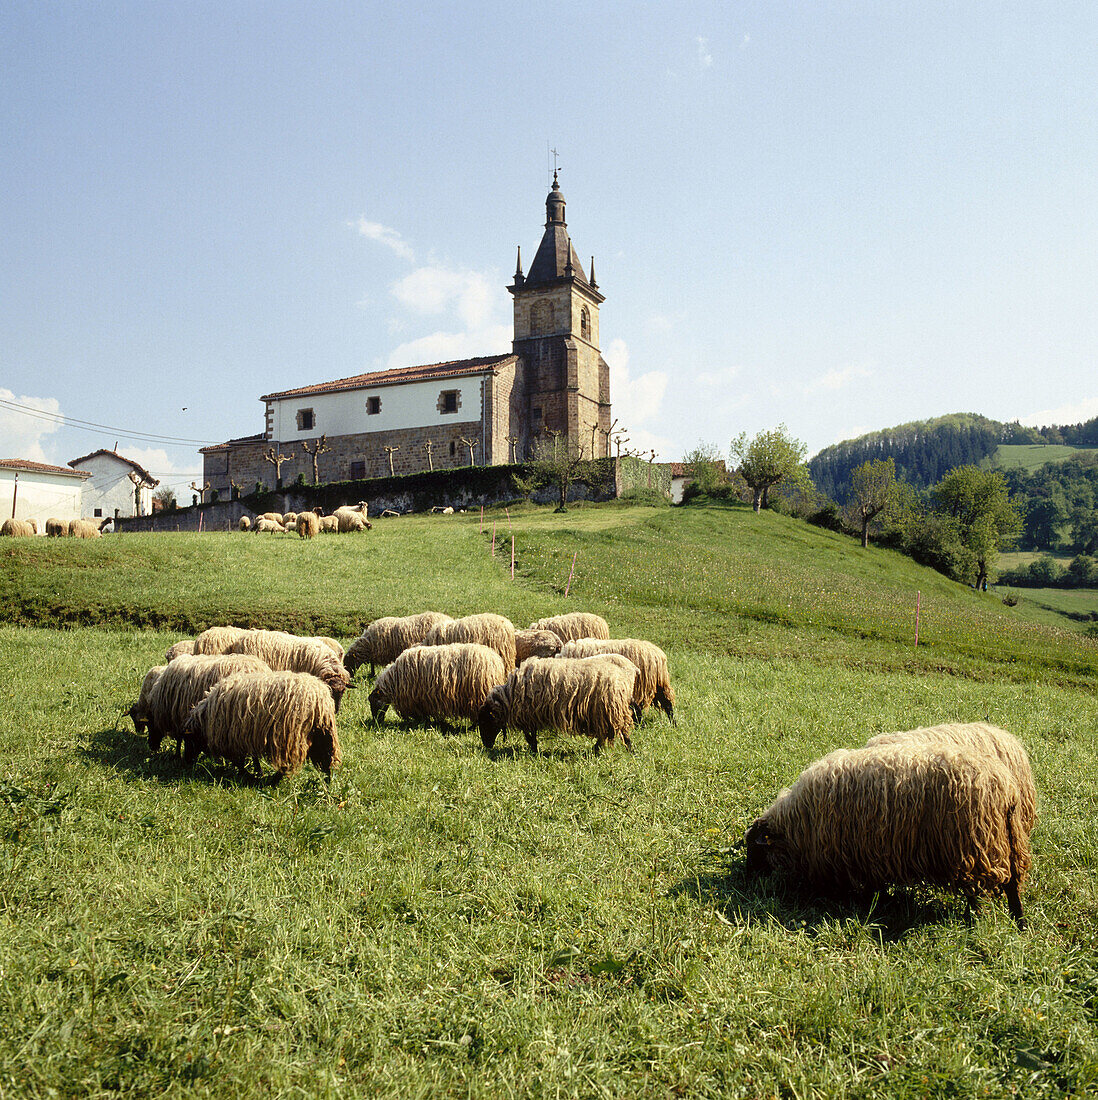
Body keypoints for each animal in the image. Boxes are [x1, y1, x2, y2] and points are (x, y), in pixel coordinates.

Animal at [182, 668, 341, 783]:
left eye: (189, 740)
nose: (187, 761)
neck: (206, 718)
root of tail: (319, 697)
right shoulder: (247, 735)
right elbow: (252, 757)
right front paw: (257, 772)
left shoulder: (232, 736)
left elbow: (238, 760)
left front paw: (248, 774)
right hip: (323, 732)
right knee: (327, 757)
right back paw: (328, 783)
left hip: (289, 735)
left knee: (286, 764)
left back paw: (273, 781)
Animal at [367, 642, 508, 726]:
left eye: (373, 702)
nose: (376, 722)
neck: (394, 680)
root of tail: (495, 661)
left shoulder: (414, 698)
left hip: (478, 694)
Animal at [477, 651, 642, 756]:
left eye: (485, 721)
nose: (487, 745)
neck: (510, 696)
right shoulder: (532, 713)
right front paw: (534, 748)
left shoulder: (529, 712)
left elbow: (529, 734)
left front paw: (533, 748)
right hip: (606, 710)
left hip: (609, 709)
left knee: (620, 729)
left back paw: (625, 750)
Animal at [743, 739, 1034, 928]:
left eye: (754, 848)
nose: (745, 879)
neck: (798, 821)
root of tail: (1006, 787)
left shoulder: (851, 851)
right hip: (1009, 842)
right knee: (1012, 885)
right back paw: (1019, 922)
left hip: (973, 846)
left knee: (976, 890)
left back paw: (972, 920)